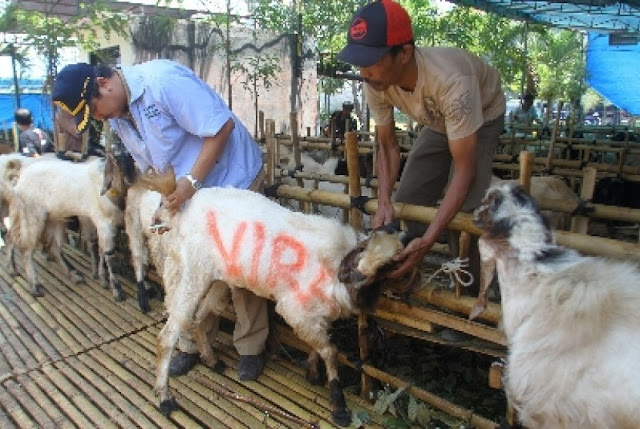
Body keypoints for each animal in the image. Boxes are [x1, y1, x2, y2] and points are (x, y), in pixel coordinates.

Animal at [6, 155, 130, 300]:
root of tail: (23, 172)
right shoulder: (103, 223)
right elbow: (109, 255)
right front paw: (117, 291)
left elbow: (101, 250)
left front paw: (102, 279)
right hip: (32, 214)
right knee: (26, 249)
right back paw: (35, 287)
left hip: (51, 216)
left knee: (22, 238)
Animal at [128, 183, 420, 424]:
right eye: (390, 265)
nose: (408, 235)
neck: (336, 265)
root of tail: (182, 214)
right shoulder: (295, 310)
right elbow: (331, 351)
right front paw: (339, 406)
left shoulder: (316, 316)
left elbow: (319, 345)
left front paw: (312, 372)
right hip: (192, 273)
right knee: (167, 336)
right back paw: (165, 400)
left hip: (217, 279)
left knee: (198, 317)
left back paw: (213, 362)